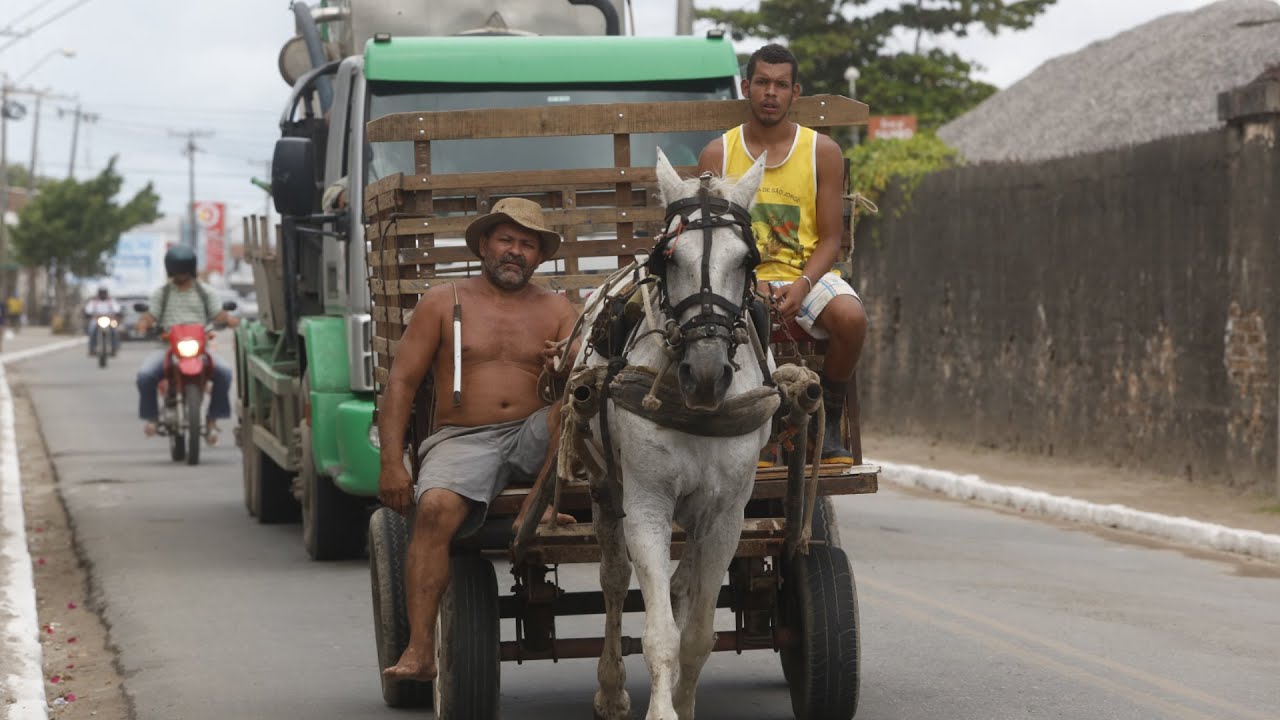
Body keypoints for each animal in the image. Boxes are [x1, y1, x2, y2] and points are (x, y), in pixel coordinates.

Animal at [578, 148, 768, 712]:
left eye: (746, 261)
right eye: (670, 259)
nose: (705, 374)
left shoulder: (727, 516)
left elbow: (699, 634)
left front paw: (683, 702)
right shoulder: (646, 506)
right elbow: (660, 633)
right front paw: (661, 709)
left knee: (682, 584)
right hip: (604, 486)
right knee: (614, 579)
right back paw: (610, 689)